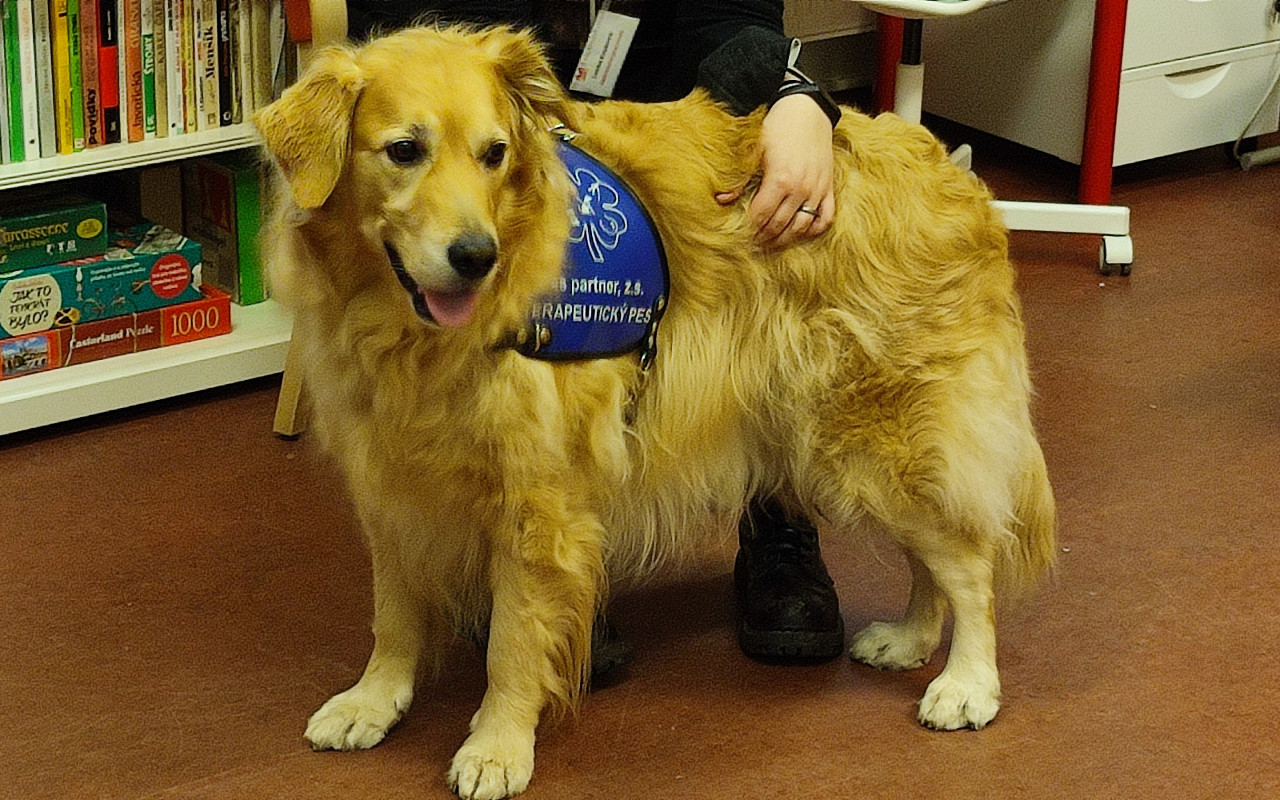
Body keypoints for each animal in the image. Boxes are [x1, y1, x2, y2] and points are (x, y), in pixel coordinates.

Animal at [254, 21, 1054, 793]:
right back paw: (911, 640)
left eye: (494, 154)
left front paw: (497, 745)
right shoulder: (390, 481)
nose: (476, 257)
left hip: (871, 436)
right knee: (937, 555)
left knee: (968, 561)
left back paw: (967, 683)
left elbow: (513, 642)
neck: (409, 336)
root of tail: (952, 168)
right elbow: (392, 613)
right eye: (404, 150)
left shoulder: (538, 503)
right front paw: (374, 699)